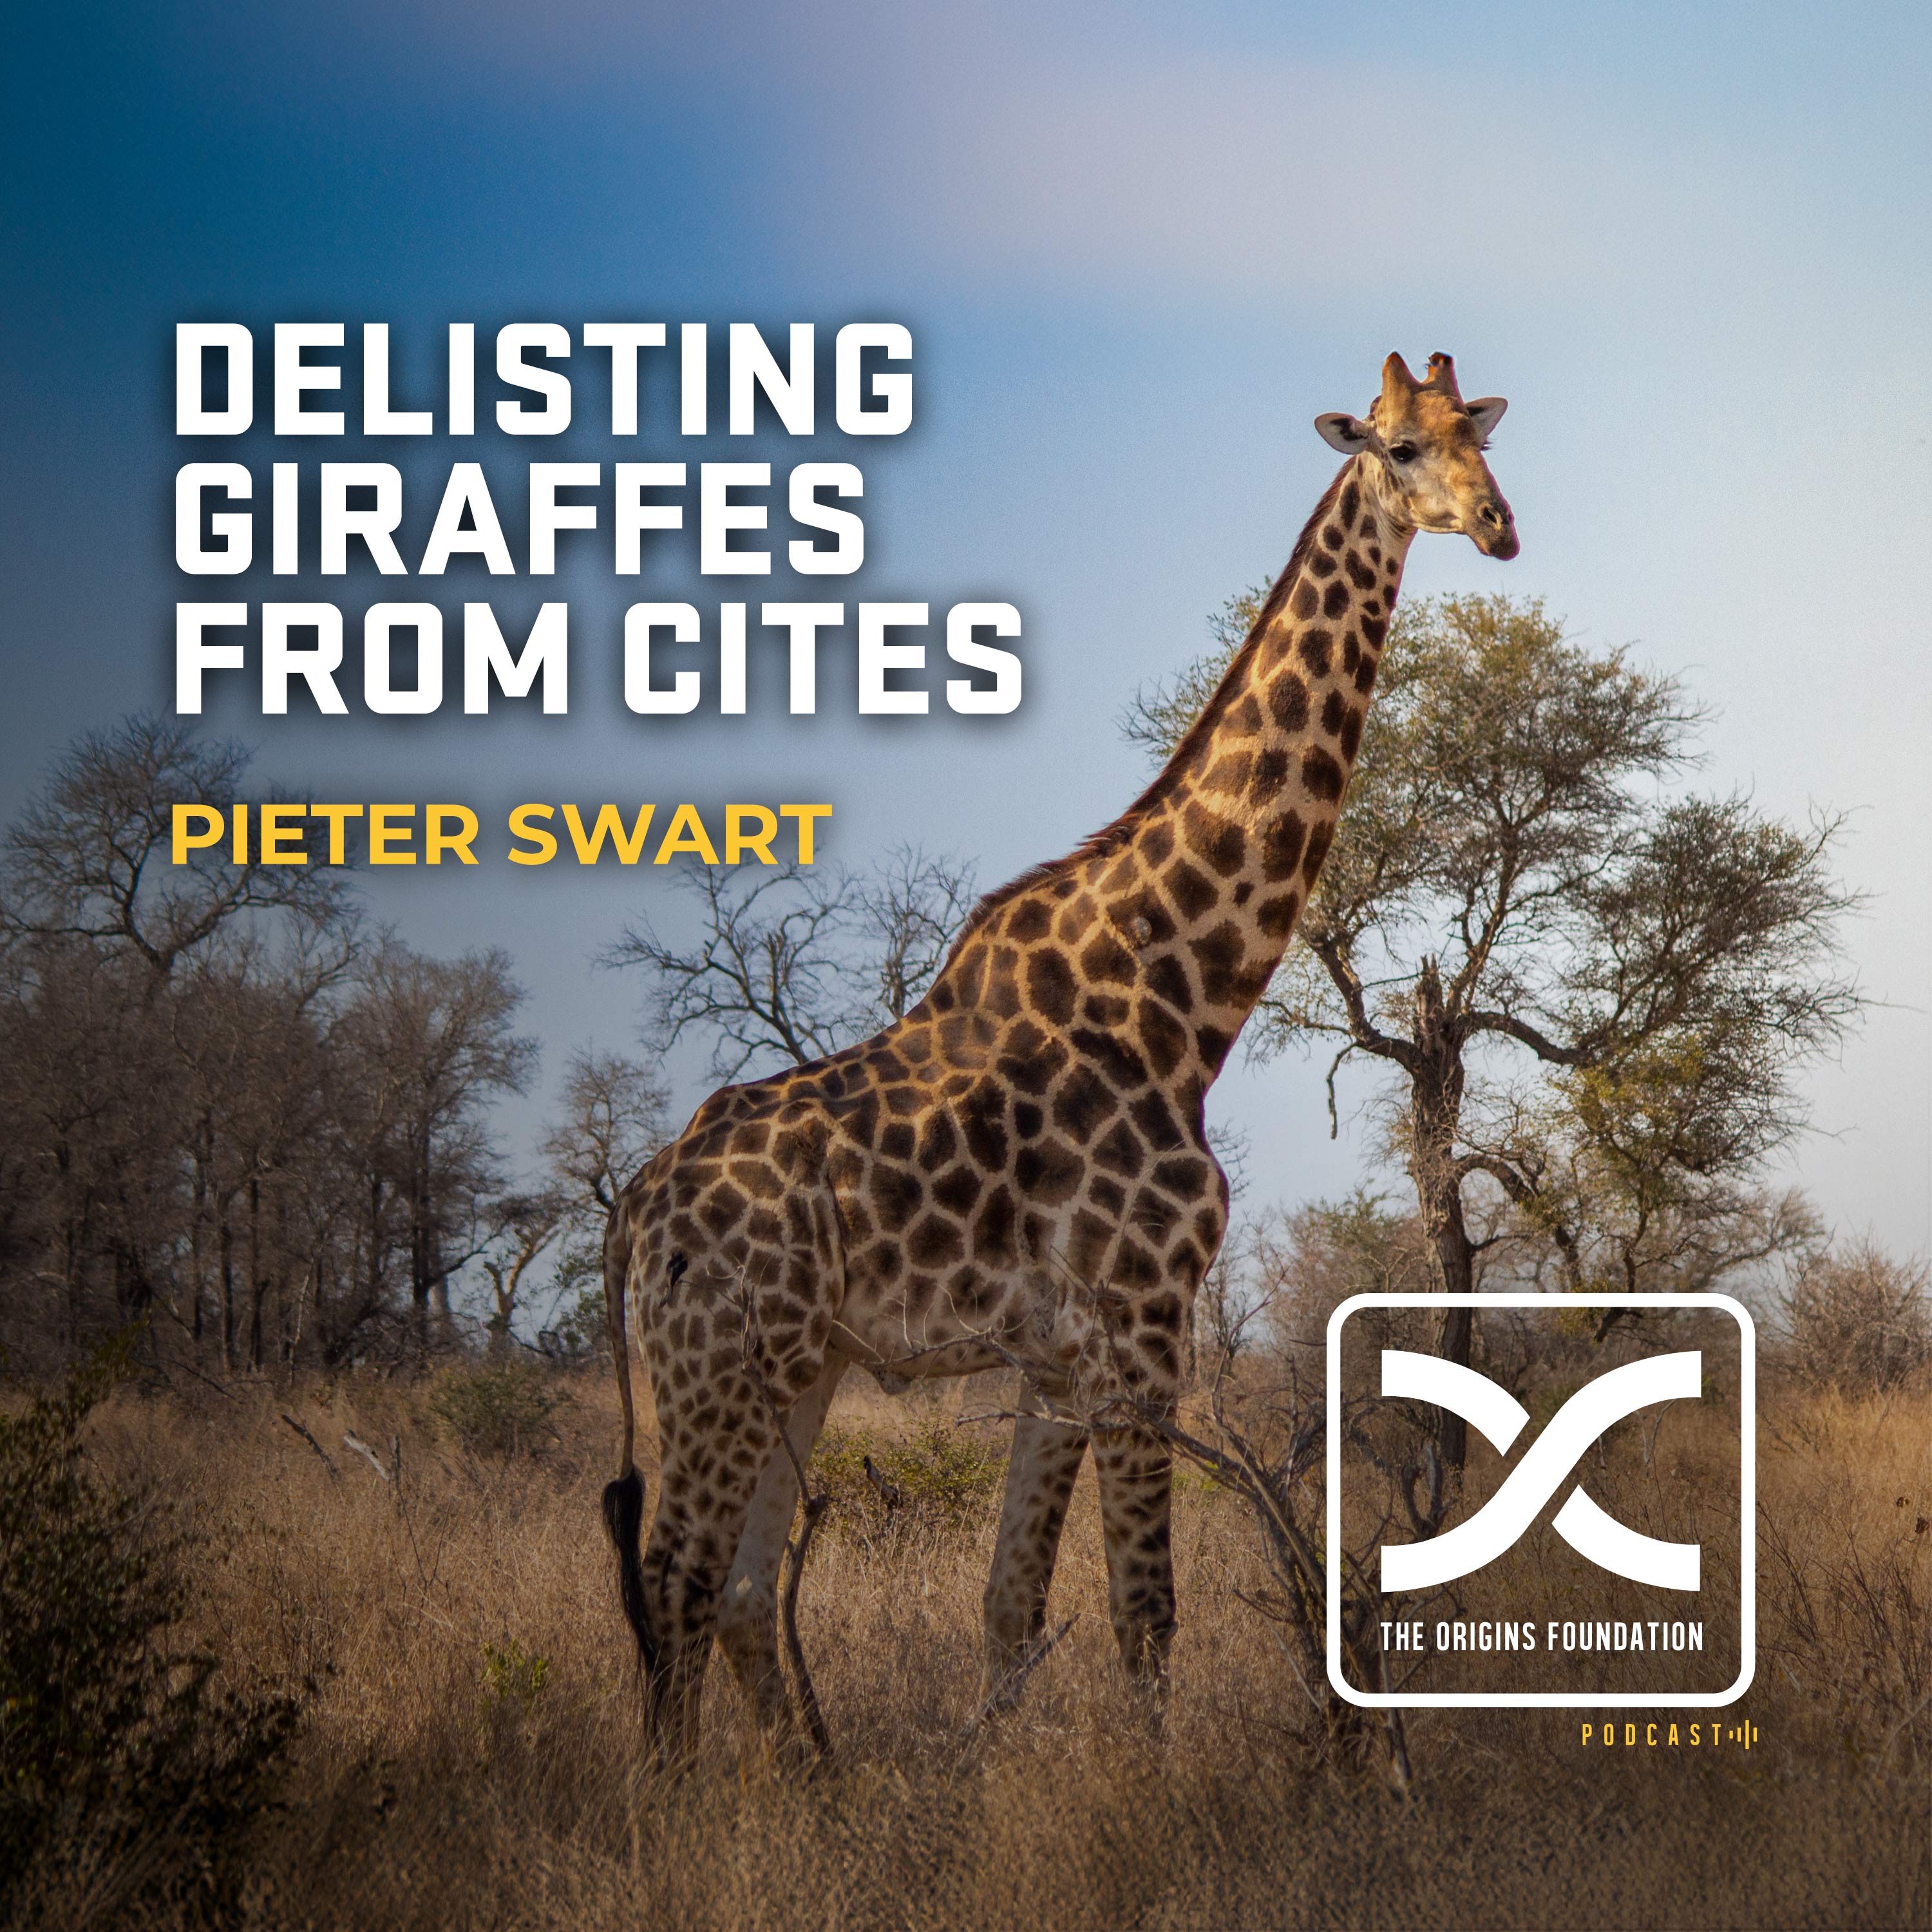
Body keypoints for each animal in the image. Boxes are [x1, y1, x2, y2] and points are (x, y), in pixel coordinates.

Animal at [602, 350, 1518, 1754]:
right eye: (1401, 448)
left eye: (1480, 434)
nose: (1498, 524)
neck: (1180, 998)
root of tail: (640, 1207)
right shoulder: (1142, 1319)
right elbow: (1147, 1611)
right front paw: (1160, 1802)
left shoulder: (1056, 1352)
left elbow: (1012, 1605)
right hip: (716, 1366)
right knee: (678, 1582)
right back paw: (678, 1806)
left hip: (793, 1365)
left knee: (743, 1591)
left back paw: (813, 1791)